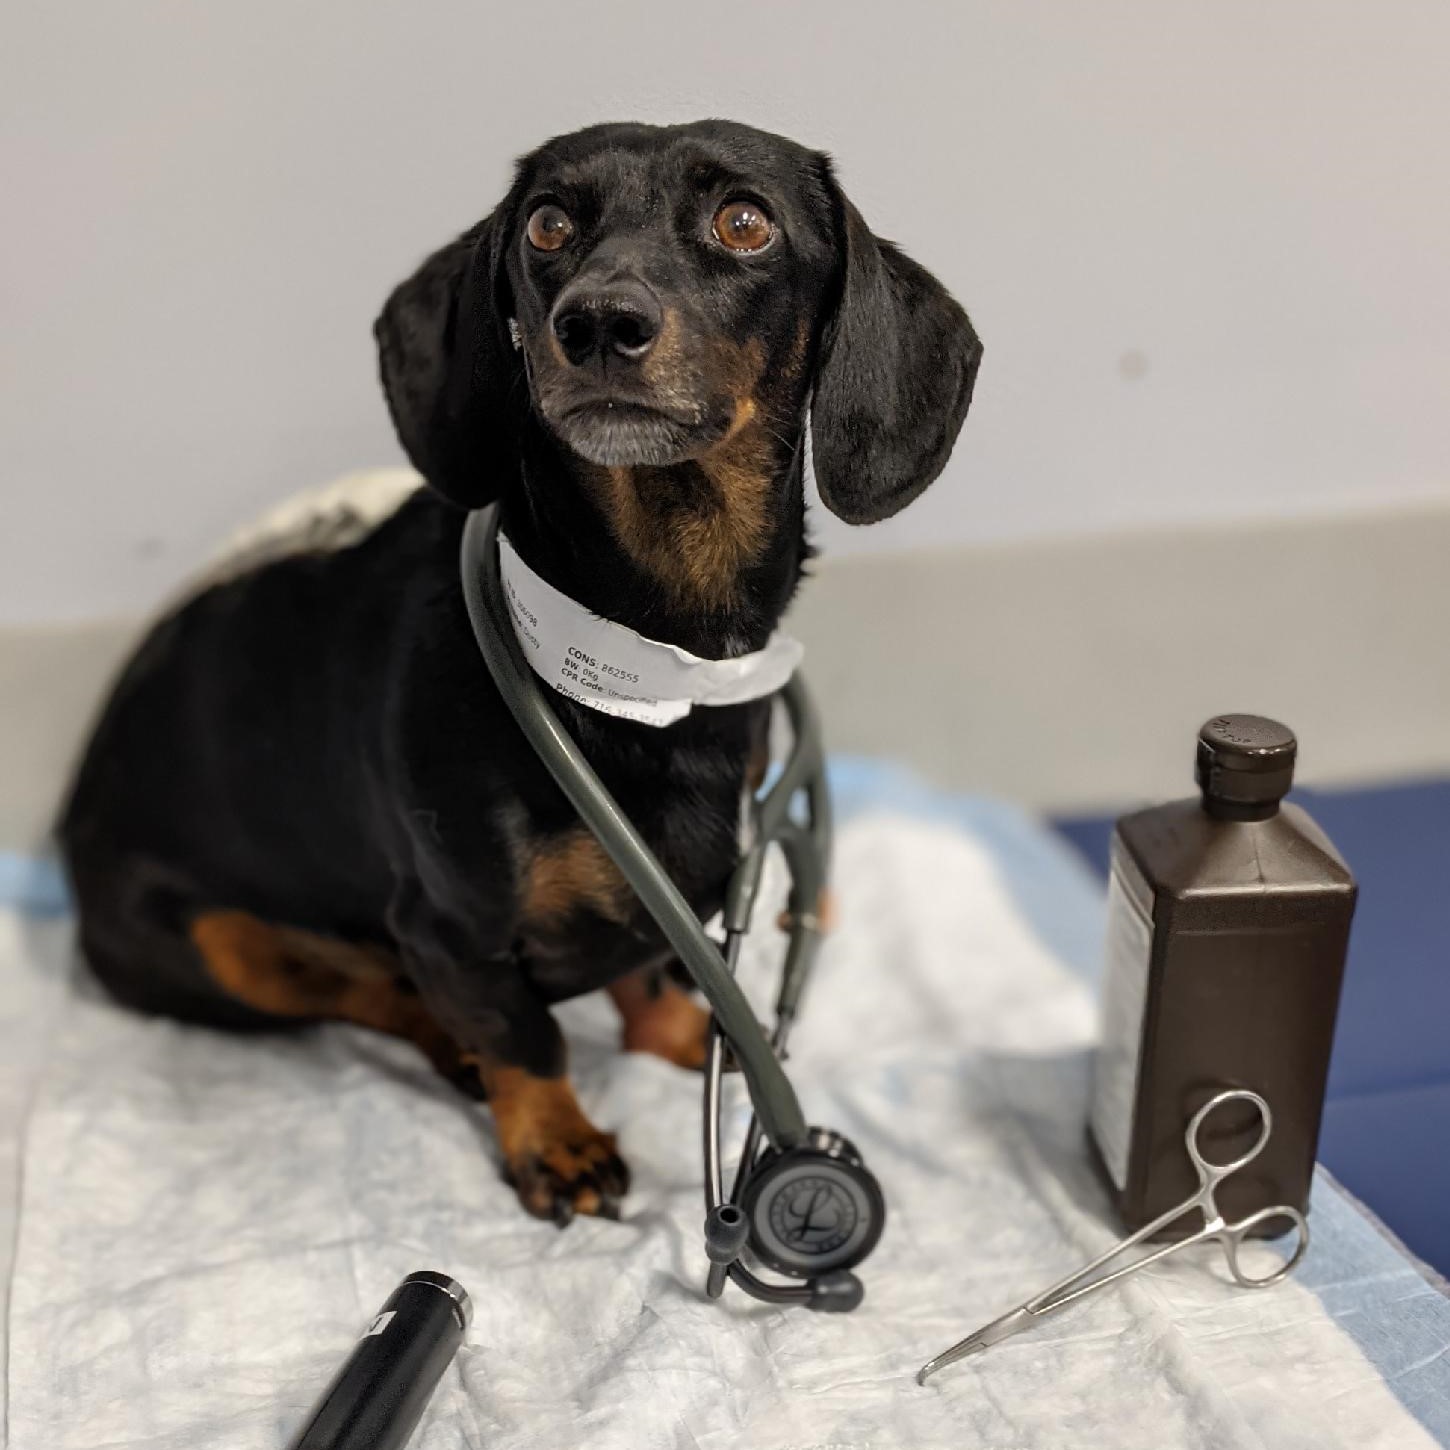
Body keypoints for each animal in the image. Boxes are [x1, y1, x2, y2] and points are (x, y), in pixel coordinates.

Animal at [59, 121, 986, 1223]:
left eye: (746, 221)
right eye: (547, 223)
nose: (599, 322)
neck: (648, 669)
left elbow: (657, 971)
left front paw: (685, 1036)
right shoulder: (451, 930)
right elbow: (524, 1036)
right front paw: (559, 1140)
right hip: (217, 950)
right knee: (365, 991)